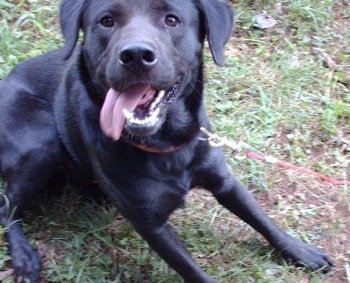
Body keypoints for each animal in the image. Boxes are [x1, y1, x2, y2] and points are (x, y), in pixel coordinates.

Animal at [0, 0, 334, 282]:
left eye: (172, 20)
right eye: (106, 21)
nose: (135, 55)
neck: (165, 141)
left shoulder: (224, 181)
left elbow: (262, 219)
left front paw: (300, 251)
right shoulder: (152, 224)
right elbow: (193, 271)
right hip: (40, 141)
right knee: (7, 207)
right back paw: (24, 257)